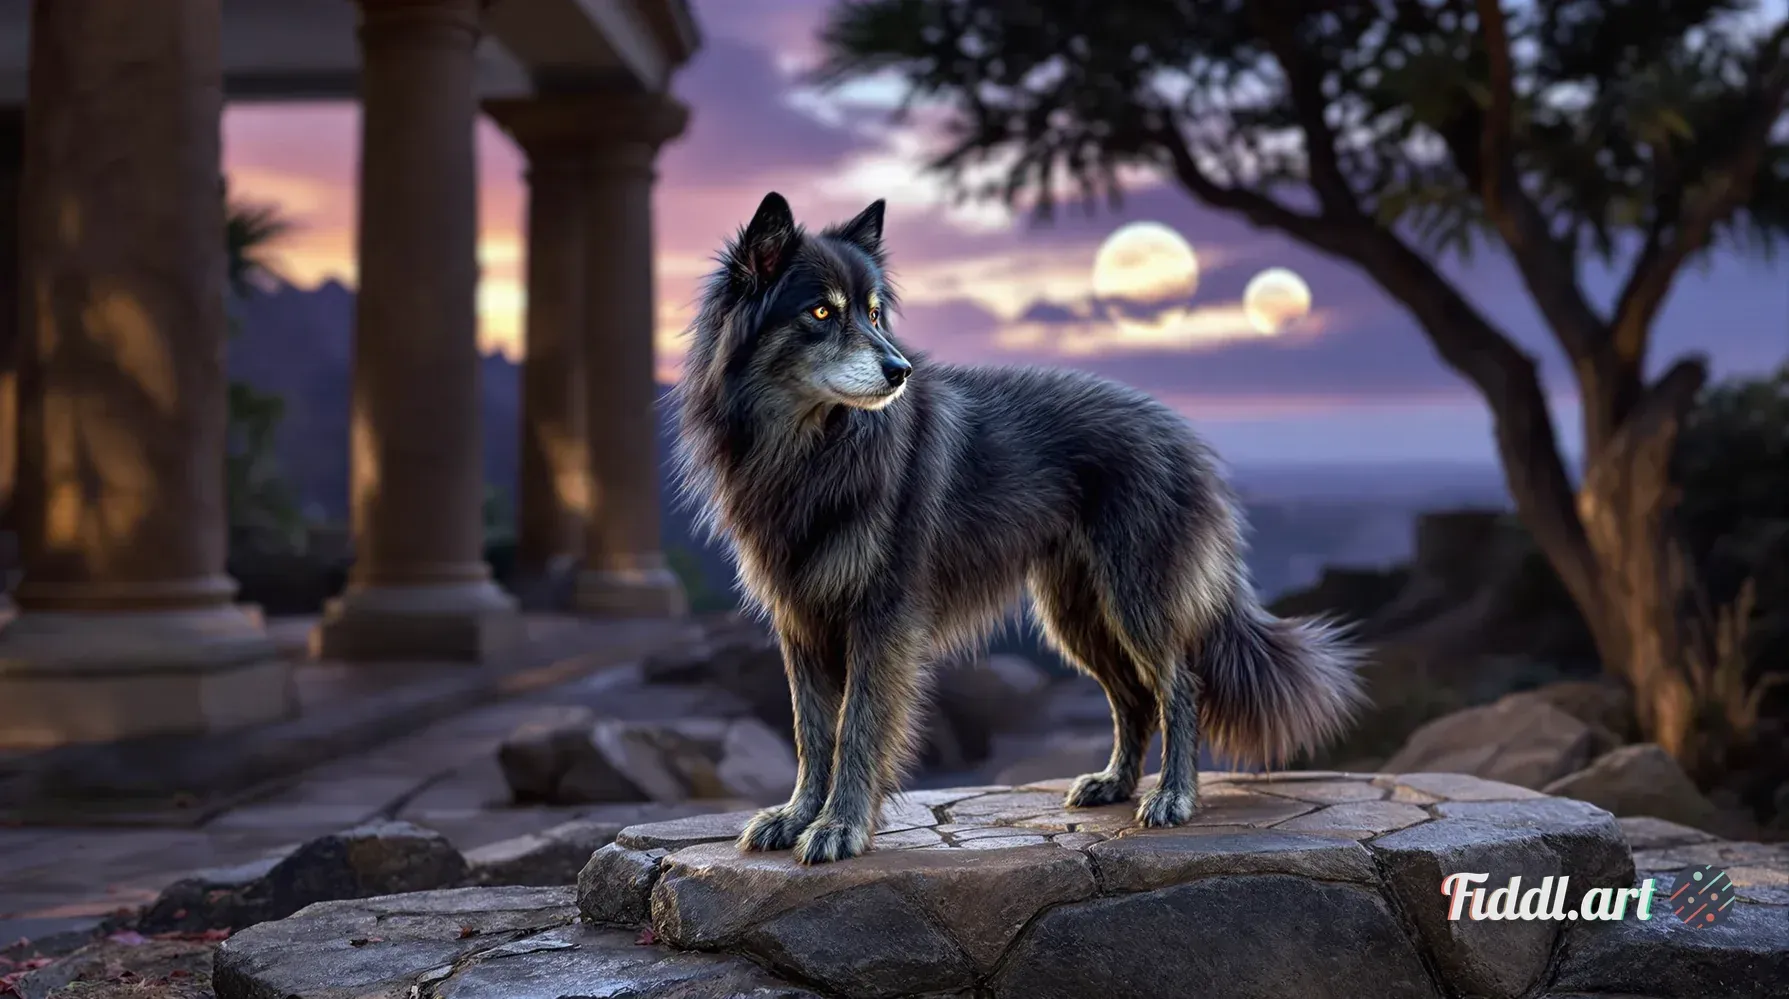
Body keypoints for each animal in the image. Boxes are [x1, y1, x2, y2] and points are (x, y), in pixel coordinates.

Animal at [672, 192, 1364, 865]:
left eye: (873, 314)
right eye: (820, 312)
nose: (900, 371)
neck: (811, 450)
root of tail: (1182, 433)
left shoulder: (881, 619)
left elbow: (858, 727)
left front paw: (840, 827)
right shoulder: (801, 619)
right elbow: (812, 732)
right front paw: (796, 817)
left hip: (1134, 600)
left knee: (1179, 685)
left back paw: (1173, 796)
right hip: (1077, 614)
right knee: (1135, 697)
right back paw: (1113, 783)